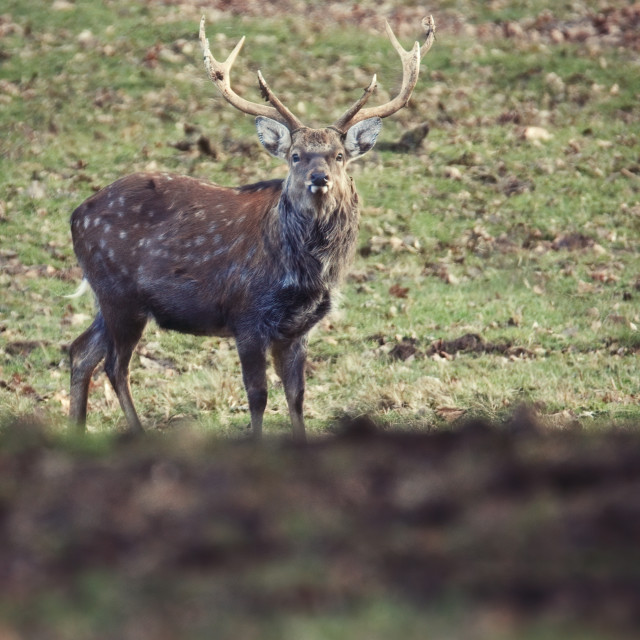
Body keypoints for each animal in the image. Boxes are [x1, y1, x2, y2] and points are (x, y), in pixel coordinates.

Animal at [69, 15, 436, 440]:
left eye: (339, 155)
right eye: (295, 156)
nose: (319, 178)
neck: (305, 275)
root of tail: (75, 215)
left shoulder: (297, 329)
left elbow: (297, 396)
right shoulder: (246, 316)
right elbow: (257, 395)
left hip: (111, 298)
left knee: (80, 351)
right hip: (119, 294)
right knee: (115, 366)